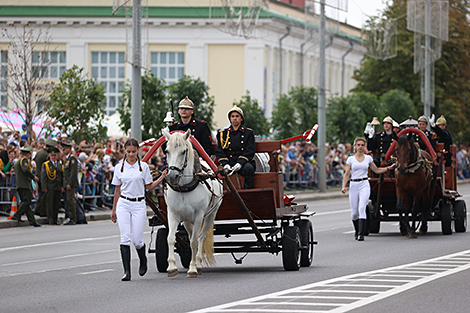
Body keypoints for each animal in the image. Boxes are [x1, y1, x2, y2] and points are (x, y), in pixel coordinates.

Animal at [163, 129, 224, 278]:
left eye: (184, 151)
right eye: (166, 151)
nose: (171, 176)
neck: (184, 188)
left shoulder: (198, 216)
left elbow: (195, 241)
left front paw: (192, 268)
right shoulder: (173, 214)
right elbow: (171, 238)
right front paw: (171, 267)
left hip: (210, 215)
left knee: (200, 237)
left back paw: (198, 263)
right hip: (186, 220)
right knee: (191, 236)